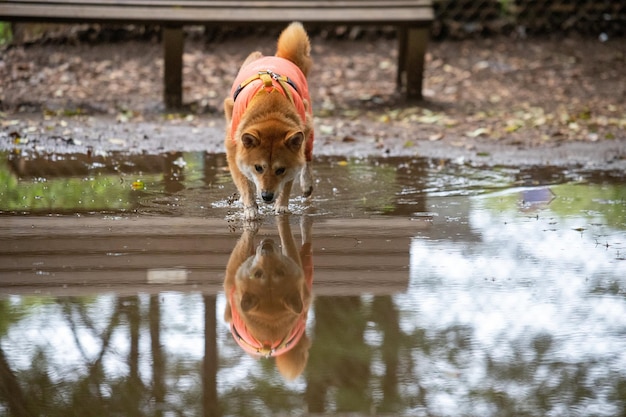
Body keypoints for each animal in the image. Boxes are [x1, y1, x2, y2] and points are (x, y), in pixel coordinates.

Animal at [222, 22, 314, 221]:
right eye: (258, 168)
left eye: (280, 170)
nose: (267, 196)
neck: (270, 108)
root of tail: (279, 58)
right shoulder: (234, 152)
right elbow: (245, 183)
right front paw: (250, 208)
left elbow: (288, 182)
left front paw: (282, 206)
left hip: (308, 128)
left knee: (307, 159)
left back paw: (306, 184)